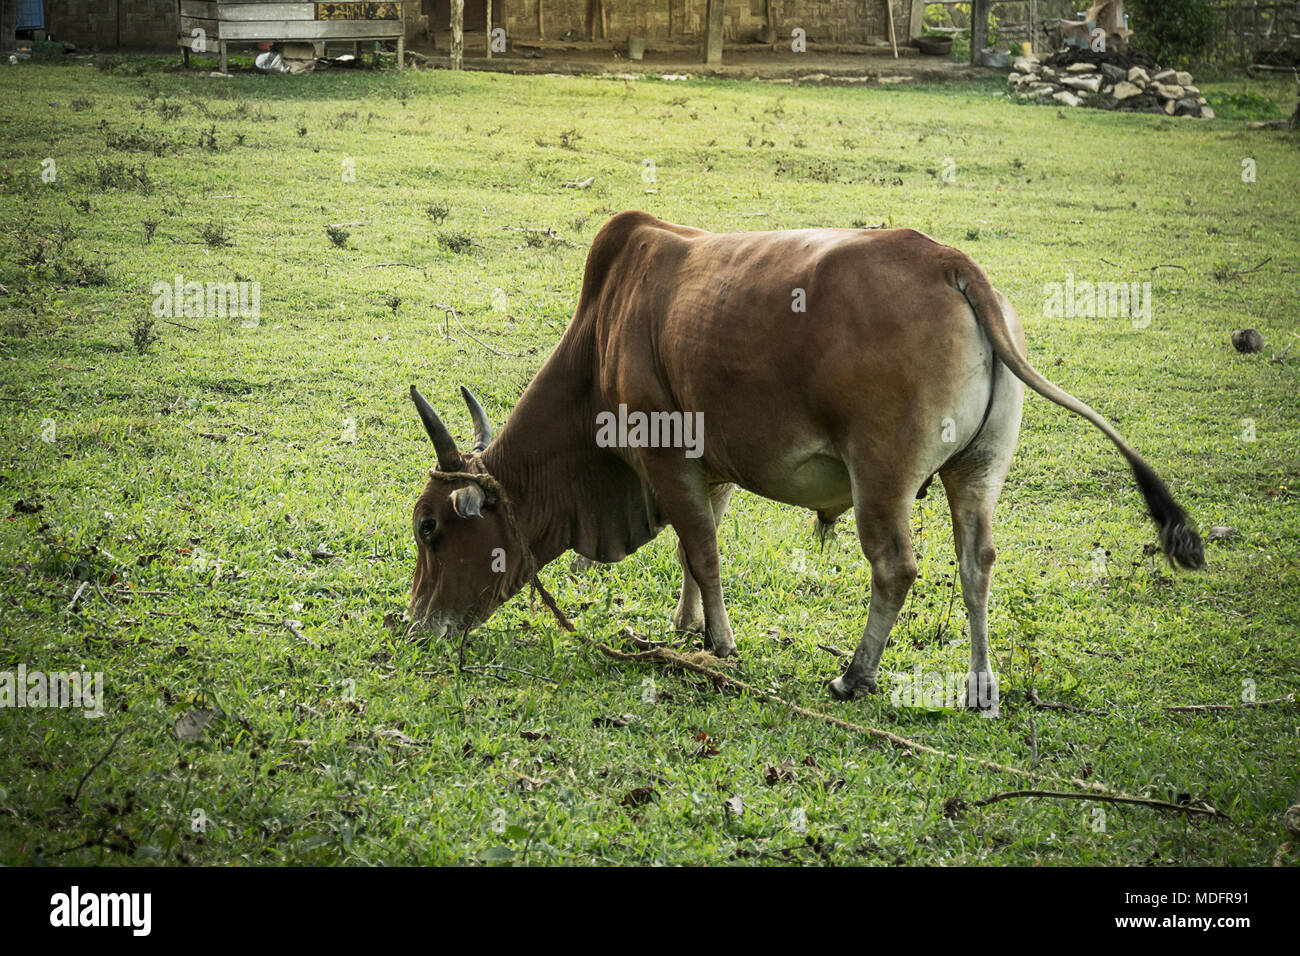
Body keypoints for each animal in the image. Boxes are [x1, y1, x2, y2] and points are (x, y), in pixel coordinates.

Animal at [403, 210, 1196, 702]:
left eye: (430, 528)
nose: (414, 624)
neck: (601, 336)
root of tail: (949, 262)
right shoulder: (709, 466)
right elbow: (694, 548)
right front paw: (686, 625)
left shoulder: (666, 458)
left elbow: (703, 549)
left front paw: (718, 643)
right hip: (976, 473)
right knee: (977, 567)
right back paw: (979, 687)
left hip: (882, 478)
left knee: (896, 568)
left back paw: (854, 676)